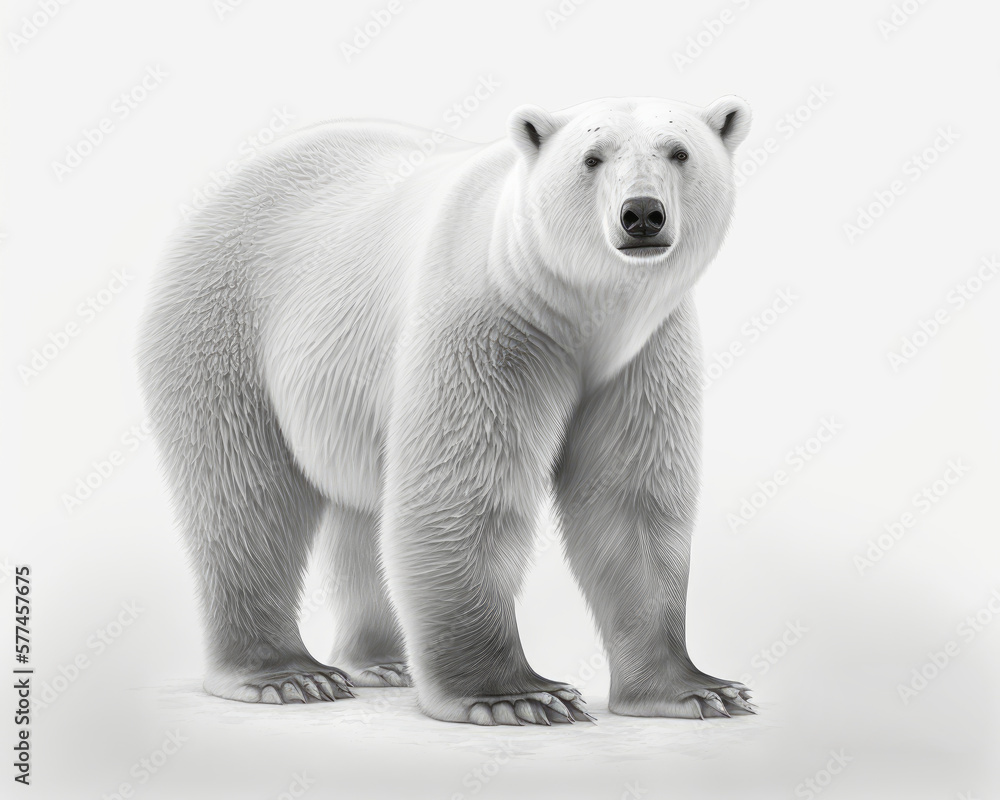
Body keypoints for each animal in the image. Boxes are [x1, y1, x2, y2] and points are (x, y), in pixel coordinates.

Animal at [137, 94, 755, 725]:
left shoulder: (642, 350)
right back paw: (287, 675)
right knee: (245, 495)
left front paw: (697, 690)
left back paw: (384, 663)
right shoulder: (489, 319)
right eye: (592, 156)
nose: (642, 214)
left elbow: (630, 499)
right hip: (225, 321)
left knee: (362, 513)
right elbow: (464, 491)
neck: (575, 309)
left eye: (679, 151)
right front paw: (518, 695)